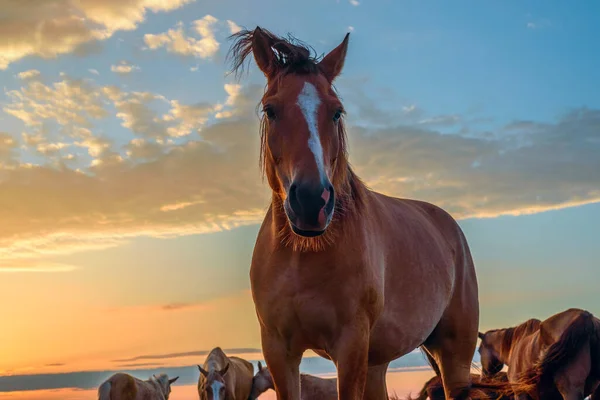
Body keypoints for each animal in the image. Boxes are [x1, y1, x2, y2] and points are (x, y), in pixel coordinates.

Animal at [227, 28, 508, 400]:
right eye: (270, 110)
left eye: (336, 112)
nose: (312, 202)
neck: (302, 256)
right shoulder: (279, 350)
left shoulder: (350, 346)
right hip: (378, 361)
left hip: (453, 356)